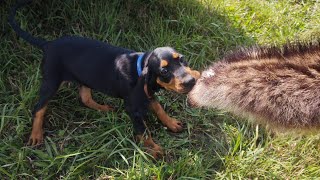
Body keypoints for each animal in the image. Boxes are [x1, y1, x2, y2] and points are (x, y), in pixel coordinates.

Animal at [8, 0, 200, 158]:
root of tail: (48, 44)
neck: (139, 66)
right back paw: (35, 135)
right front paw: (154, 149)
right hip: (51, 81)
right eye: (164, 71)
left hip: (84, 77)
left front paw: (171, 123)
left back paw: (104, 108)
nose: (191, 81)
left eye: (182, 59)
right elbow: (143, 131)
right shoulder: (133, 107)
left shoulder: (148, 93)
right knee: (39, 108)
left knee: (85, 98)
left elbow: (159, 108)